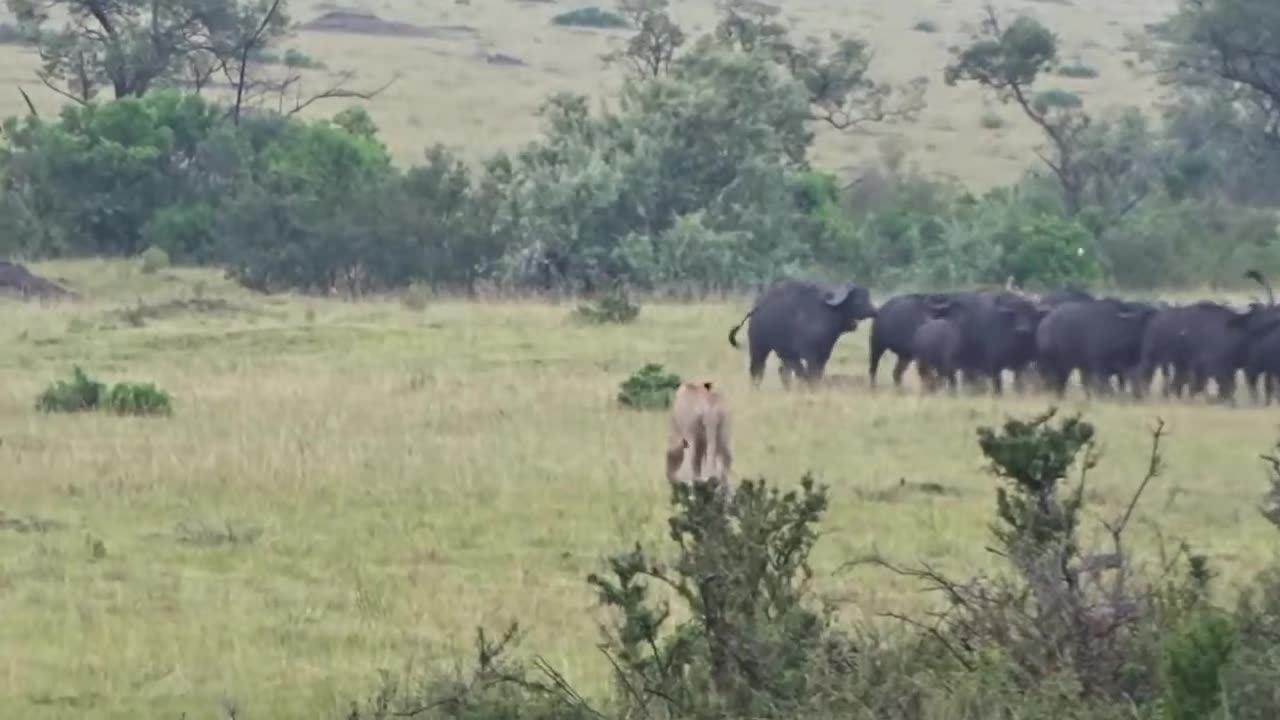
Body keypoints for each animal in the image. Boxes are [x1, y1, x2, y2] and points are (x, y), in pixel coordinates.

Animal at [732, 278, 880, 386]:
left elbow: (816, 375)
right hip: (759, 348)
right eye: (858, 299)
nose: (874, 311)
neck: (829, 313)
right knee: (757, 370)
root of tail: (756, 308)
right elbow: (810, 375)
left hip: (784, 353)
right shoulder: (810, 356)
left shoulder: (823, 355)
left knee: (783, 373)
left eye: (868, 296)